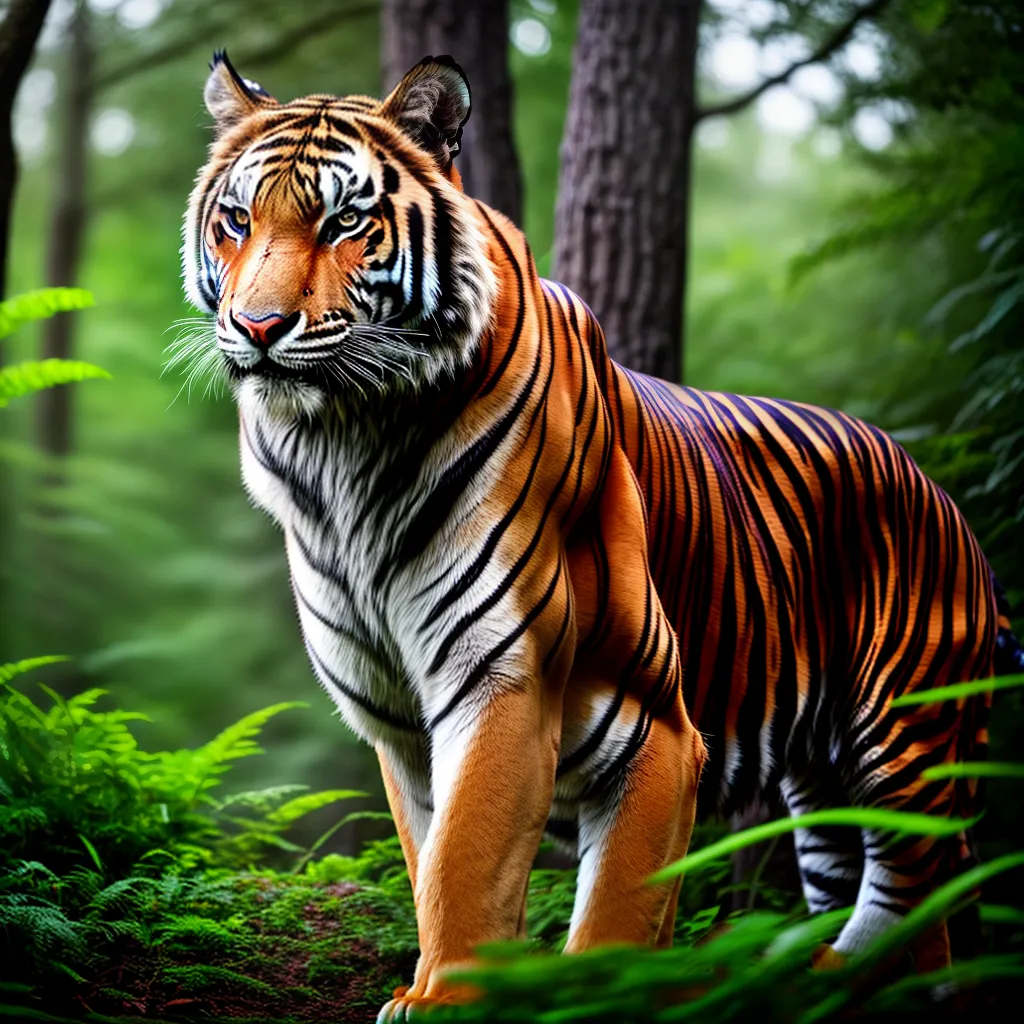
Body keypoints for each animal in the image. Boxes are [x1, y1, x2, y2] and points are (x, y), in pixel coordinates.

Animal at [181, 52, 1019, 1019]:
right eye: (238, 220)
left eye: (345, 221)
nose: (257, 327)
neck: (342, 449)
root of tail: (944, 496)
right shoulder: (396, 717)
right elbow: (435, 863)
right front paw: (431, 987)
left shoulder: (578, 704)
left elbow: (501, 872)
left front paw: (456, 1001)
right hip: (821, 783)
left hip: (908, 740)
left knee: (918, 906)